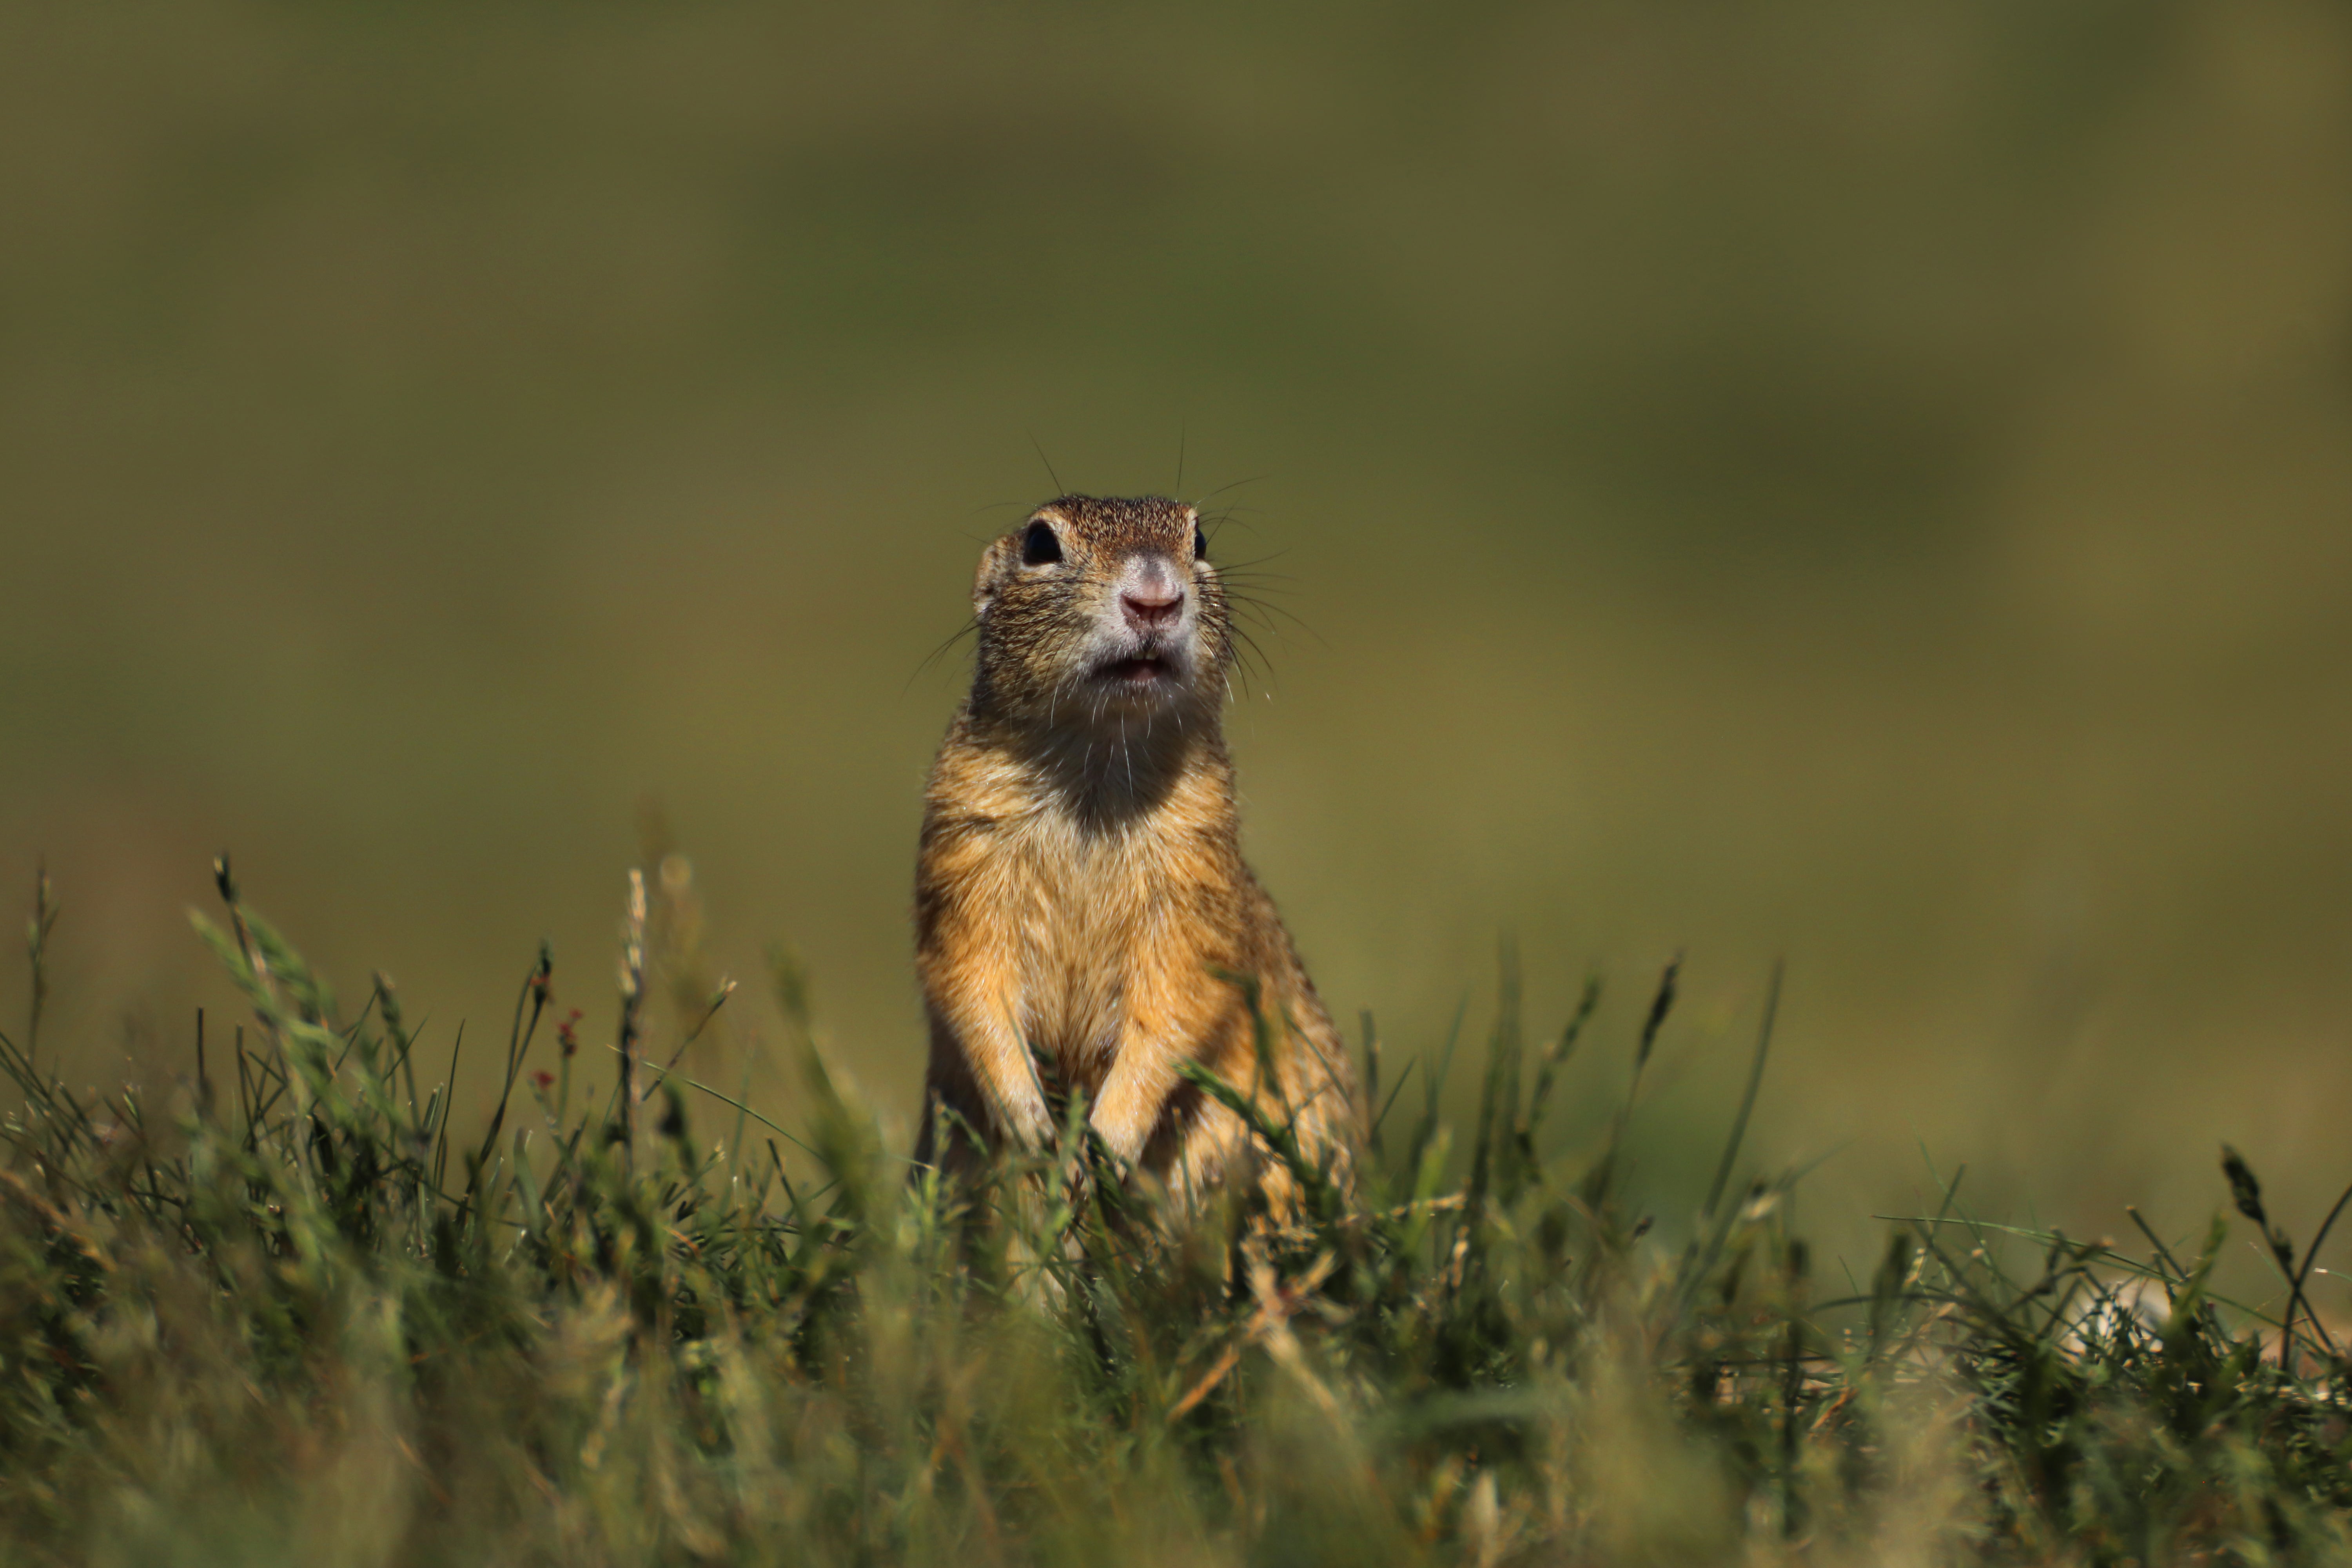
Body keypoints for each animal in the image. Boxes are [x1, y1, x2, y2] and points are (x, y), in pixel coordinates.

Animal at [917, 496, 1364, 1213]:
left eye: (1199, 540)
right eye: (1040, 545)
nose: (1155, 597)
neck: (1100, 761)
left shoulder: (1195, 882)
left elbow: (1177, 1005)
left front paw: (1106, 1142)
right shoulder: (963, 853)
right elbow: (971, 982)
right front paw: (1032, 1123)